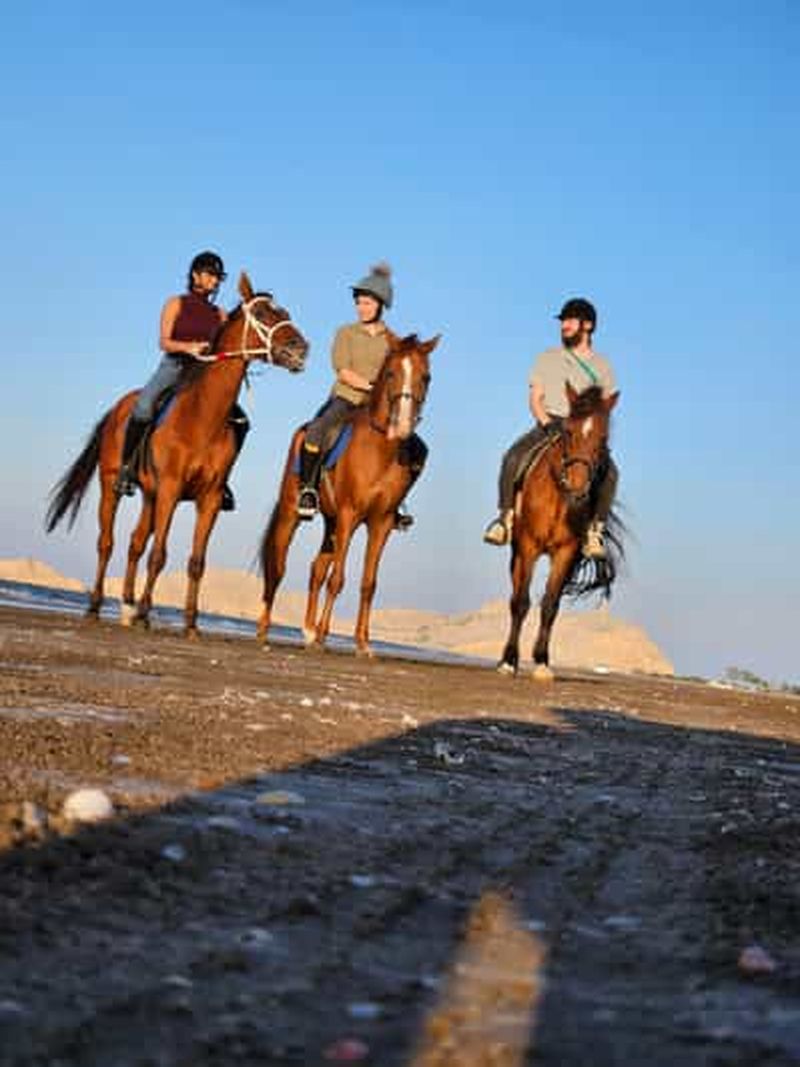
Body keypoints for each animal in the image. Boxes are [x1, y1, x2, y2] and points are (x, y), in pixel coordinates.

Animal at [45, 272, 308, 635]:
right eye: (263, 314)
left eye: (284, 312)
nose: (301, 349)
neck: (202, 417)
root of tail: (119, 407)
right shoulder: (171, 489)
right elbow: (159, 555)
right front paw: (145, 613)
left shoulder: (209, 498)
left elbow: (196, 561)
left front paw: (190, 623)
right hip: (113, 485)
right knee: (107, 542)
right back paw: (97, 606)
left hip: (150, 496)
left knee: (135, 543)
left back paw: (126, 606)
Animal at [258, 332, 439, 656]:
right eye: (390, 373)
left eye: (426, 377)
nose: (402, 425)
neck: (381, 450)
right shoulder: (349, 515)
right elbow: (337, 579)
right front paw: (322, 636)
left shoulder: (381, 523)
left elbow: (368, 583)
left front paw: (362, 643)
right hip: (294, 511)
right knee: (277, 565)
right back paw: (266, 629)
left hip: (331, 524)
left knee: (317, 568)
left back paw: (307, 630)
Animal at [498, 383, 622, 682]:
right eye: (567, 431)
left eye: (603, 437)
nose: (578, 489)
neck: (560, 496)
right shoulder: (529, 546)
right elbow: (521, 602)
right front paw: (509, 660)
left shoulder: (566, 553)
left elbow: (550, 605)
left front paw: (542, 661)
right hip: (517, 552)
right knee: (515, 596)